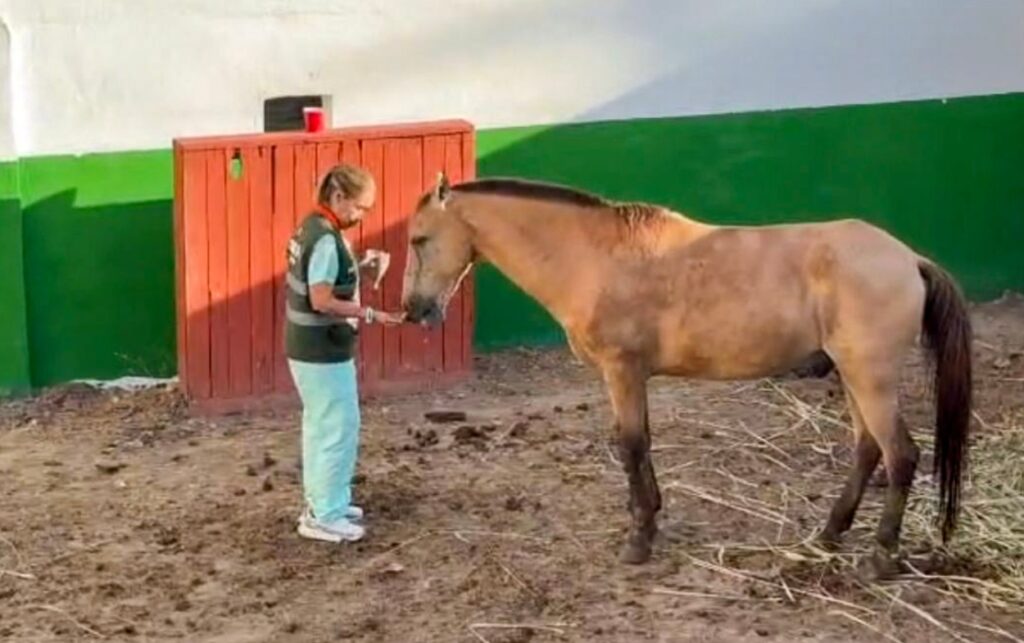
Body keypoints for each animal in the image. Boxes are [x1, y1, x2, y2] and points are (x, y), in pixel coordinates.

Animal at [399, 173, 973, 575]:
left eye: (420, 240)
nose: (413, 310)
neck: (595, 257)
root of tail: (908, 258)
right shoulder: (634, 378)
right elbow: (643, 443)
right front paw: (651, 518)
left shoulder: (622, 372)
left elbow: (630, 445)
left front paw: (639, 538)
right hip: (854, 379)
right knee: (867, 450)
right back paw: (829, 534)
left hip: (870, 378)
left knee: (900, 455)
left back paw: (881, 555)